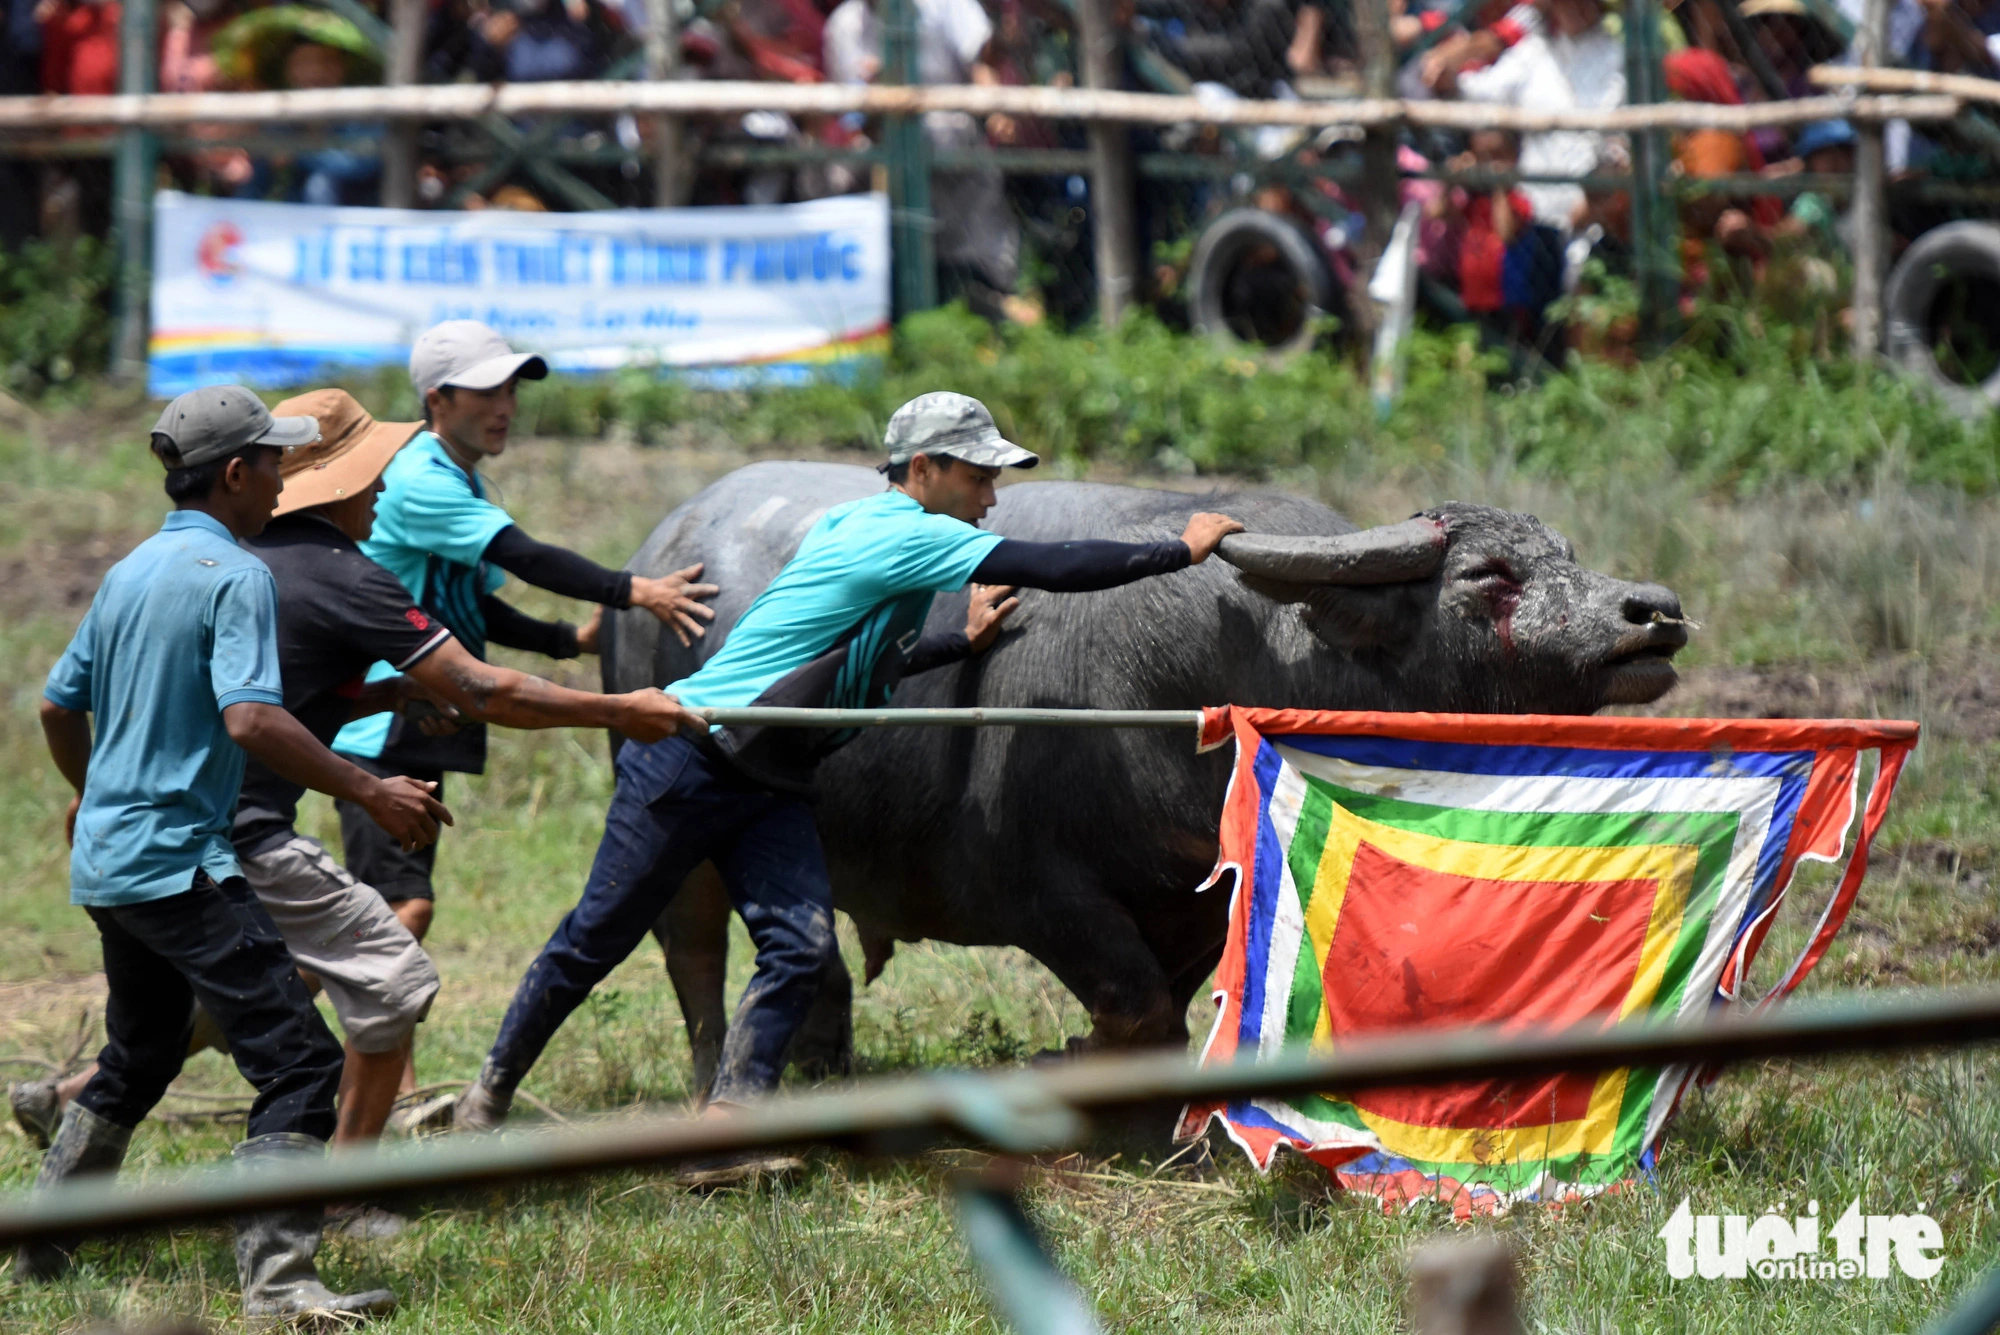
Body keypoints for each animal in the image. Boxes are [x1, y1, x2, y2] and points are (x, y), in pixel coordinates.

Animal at [596, 461, 1688, 1087]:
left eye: (1565, 554)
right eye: (1488, 576)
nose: (1655, 611)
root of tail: (666, 544)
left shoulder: (1199, 899)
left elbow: (1169, 1000)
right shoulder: (1038, 893)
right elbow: (1137, 1007)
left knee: (813, 955)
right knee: (691, 948)